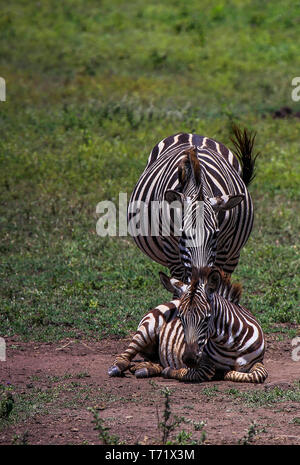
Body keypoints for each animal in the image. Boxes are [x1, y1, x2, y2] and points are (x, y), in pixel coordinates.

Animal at [108, 266, 268, 382]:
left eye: (207, 318)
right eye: (180, 317)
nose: (189, 359)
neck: (231, 344)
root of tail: (173, 300)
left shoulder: (258, 362)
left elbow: (259, 374)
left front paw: (227, 373)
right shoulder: (203, 361)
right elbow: (205, 372)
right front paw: (173, 371)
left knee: (154, 361)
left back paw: (145, 368)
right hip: (146, 329)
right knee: (125, 355)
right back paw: (118, 367)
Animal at [127, 125, 258, 280]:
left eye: (215, 235)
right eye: (184, 235)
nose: (200, 276)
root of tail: (193, 134)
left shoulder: (223, 246)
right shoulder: (171, 250)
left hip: (233, 255)